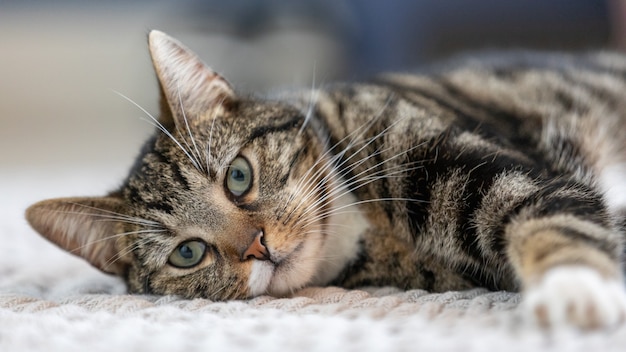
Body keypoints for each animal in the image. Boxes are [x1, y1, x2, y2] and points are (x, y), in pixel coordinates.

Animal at [26, 30, 624, 330]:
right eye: (187, 254)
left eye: (238, 176)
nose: (258, 246)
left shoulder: (473, 166)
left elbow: (539, 209)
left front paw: (575, 287)